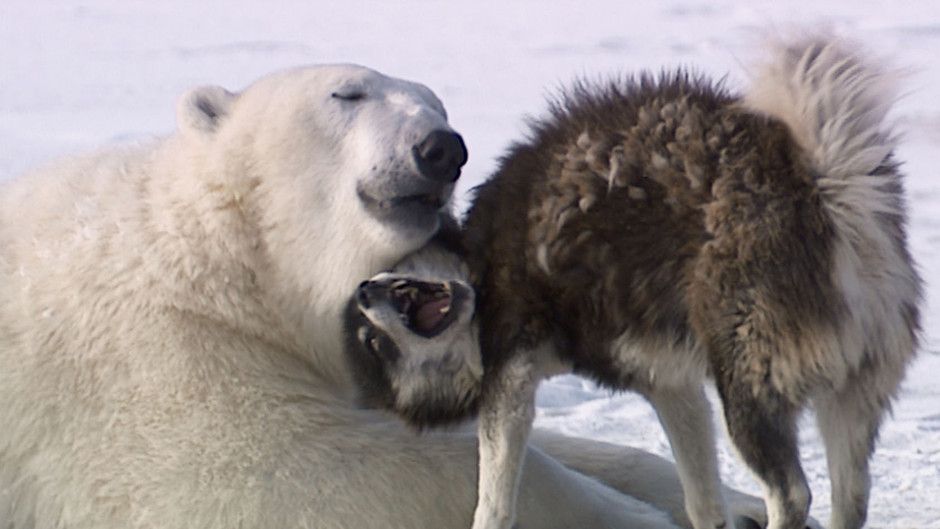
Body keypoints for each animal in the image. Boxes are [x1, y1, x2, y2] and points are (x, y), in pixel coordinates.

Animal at [0, 64, 764, 524]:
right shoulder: (157, 369)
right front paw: (642, 517)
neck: (217, 258)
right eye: (348, 94)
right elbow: (308, 476)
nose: (443, 147)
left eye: (439, 102)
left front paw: (735, 497)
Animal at [348, 35, 920, 528]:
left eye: (373, 342)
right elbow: (702, 497)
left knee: (792, 492)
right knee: (851, 494)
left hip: (750, 381)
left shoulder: (509, 370)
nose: (362, 291)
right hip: (849, 393)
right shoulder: (670, 385)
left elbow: (493, 495)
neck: (479, 261)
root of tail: (822, 188)